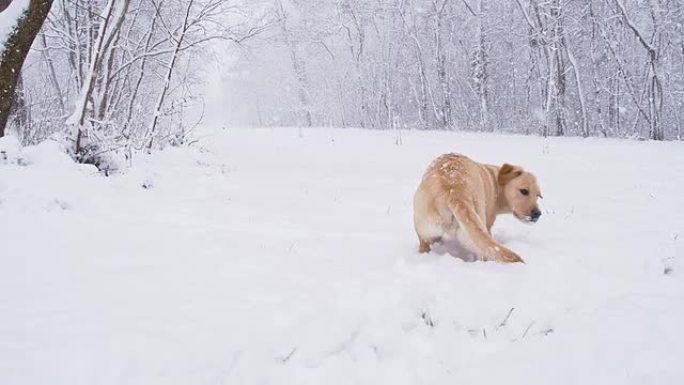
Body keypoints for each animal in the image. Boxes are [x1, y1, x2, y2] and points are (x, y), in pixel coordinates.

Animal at [414, 152, 544, 260]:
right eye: (524, 191)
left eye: (538, 195)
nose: (537, 213)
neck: (496, 182)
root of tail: (454, 188)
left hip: (427, 231)